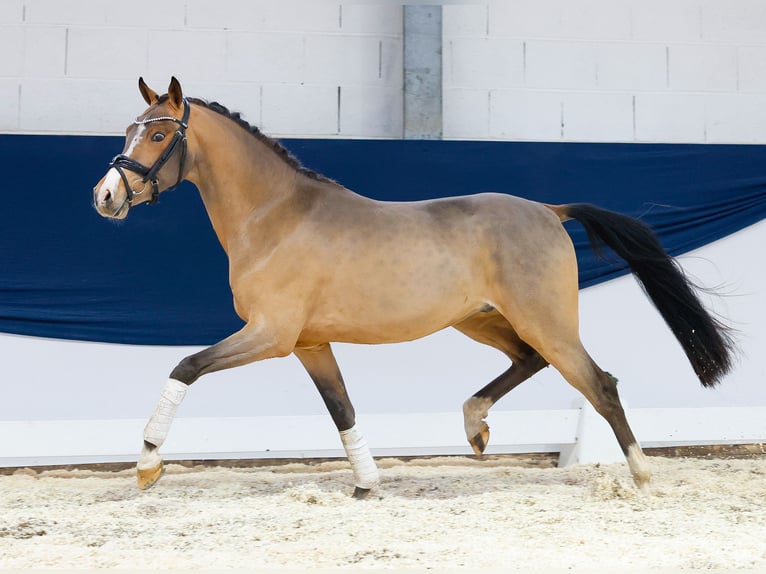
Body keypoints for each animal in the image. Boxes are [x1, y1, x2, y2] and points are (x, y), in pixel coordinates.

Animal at [93, 76, 736, 500]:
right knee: (527, 362)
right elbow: (342, 408)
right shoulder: (308, 343)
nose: (105, 196)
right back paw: (475, 427)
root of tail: (550, 211)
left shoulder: (270, 336)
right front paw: (366, 485)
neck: (276, 217)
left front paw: (147, 465)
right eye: (127, 130)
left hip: (545, 320)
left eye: (157, 136)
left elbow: (185, 367)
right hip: (481, 319)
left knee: (600, 384)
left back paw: (642, 476)